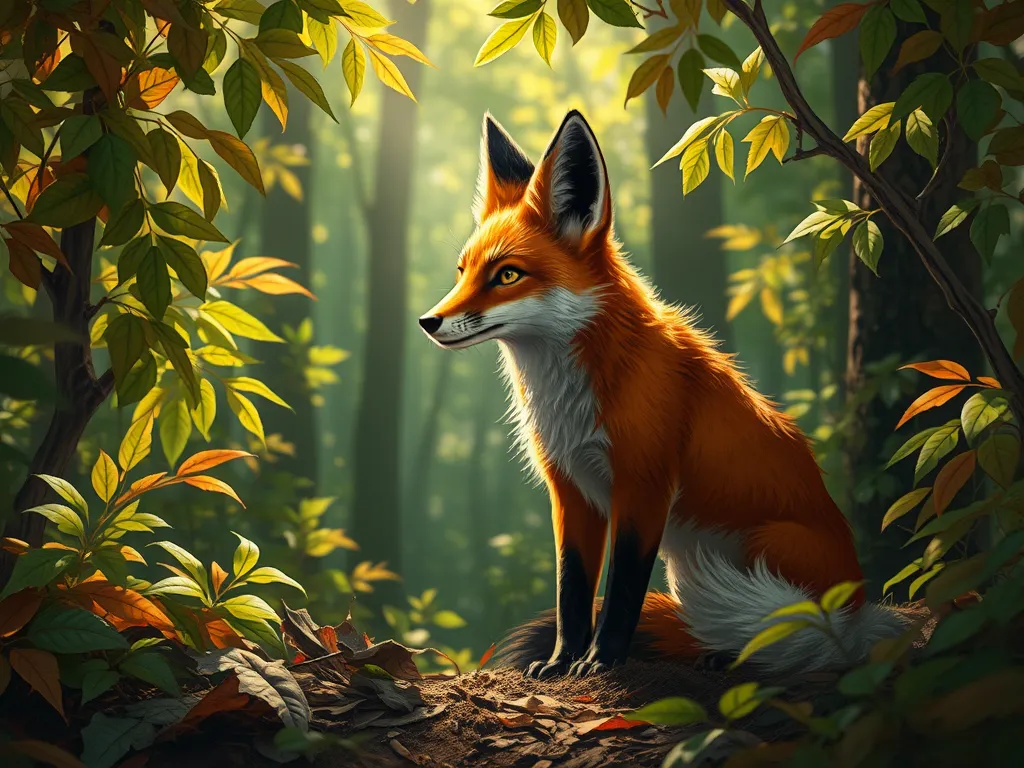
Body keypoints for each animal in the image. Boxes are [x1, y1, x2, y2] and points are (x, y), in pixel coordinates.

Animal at [418, 110, 906, 678]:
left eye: (508, 275)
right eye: (463, 272)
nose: (428, 322)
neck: (575, 399)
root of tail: (858, 617)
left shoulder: (644, 484)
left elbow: (623, 589)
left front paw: (601, 661)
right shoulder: (570, 489)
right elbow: (571, 589)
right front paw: (562, 661)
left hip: (765, 546)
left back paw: (734, 654)